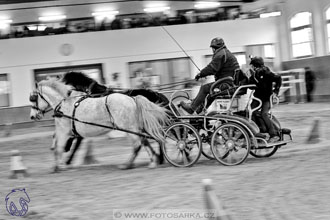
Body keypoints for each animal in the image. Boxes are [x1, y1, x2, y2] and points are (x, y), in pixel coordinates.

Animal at [29, 78, 169, 172]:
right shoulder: (65, 131)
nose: (32, 116)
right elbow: (57, 144)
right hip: (135, 127)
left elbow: (59, 147)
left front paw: (60, 166)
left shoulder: (64, 131)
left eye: (33, 98)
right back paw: (154, 160)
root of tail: (133, 99)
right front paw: (59, 164)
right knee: (144, 141)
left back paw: (127, 165)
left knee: (138, 144)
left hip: (128, 127)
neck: (65, 104)